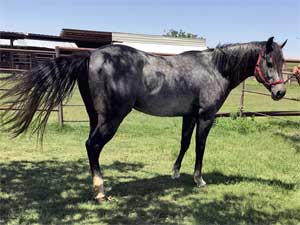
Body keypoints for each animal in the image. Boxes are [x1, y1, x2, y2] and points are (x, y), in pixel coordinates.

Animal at [1, 36, 290, 200]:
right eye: (269, 62)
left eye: (283, 62)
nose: (280, 92)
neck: (215, 68)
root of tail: (90, 56)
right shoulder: (206, 116)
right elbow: (200, 147)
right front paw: (198, 179)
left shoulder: (188, 116)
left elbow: (185, 143)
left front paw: (175, 172)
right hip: (111, 119)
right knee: (92, 146)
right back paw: (100, 191)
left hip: (96, 117)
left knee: (91, 148)